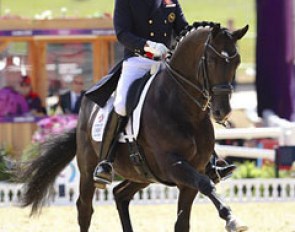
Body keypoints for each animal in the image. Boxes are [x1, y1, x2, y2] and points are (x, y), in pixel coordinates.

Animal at [18, 22, 250, 232]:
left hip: (142, 174)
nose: (222, 111)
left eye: (237, 61)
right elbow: (206, 184)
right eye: (211, 60)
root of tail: (86, 105)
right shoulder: (174, 165)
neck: (183, 108)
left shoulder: (192, 173)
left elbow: (184, 221)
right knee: (84, 209)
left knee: (120, 195)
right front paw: (232, 219)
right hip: (88, 169)